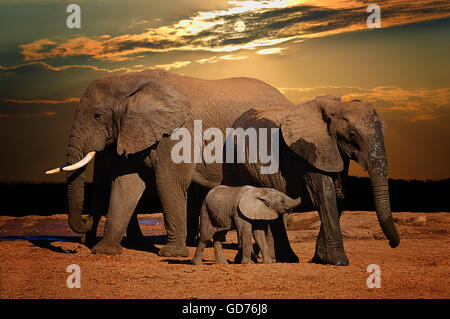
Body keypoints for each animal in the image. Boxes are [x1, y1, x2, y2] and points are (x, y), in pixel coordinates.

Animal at [46, 69, 292, 258]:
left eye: (97, 115)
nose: (85, 220)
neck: (132, 80)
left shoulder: (180, 131)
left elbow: (169, 182)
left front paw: (172, 254)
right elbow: (126, 185)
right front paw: (105, 251)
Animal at [223, 95, 400, 268]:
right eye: (352, 134)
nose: (392, 244)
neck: (335, 106)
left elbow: (340, 195)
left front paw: (319, 258)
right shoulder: (306, 152)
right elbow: (325, 193)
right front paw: (338, 262)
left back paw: (285, 259)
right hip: (234, 164)